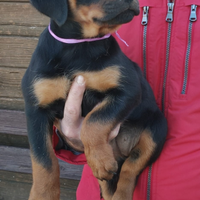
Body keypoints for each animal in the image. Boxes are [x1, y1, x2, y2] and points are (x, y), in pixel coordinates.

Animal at [21, 0, 167, 199]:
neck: (78, 46)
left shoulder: (128, 90)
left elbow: (94, 120)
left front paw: (100, 159)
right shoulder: (36, 110)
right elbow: (43, 160)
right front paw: (42, 195)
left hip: (157, 130)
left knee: (130, 169)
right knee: (108, 184)